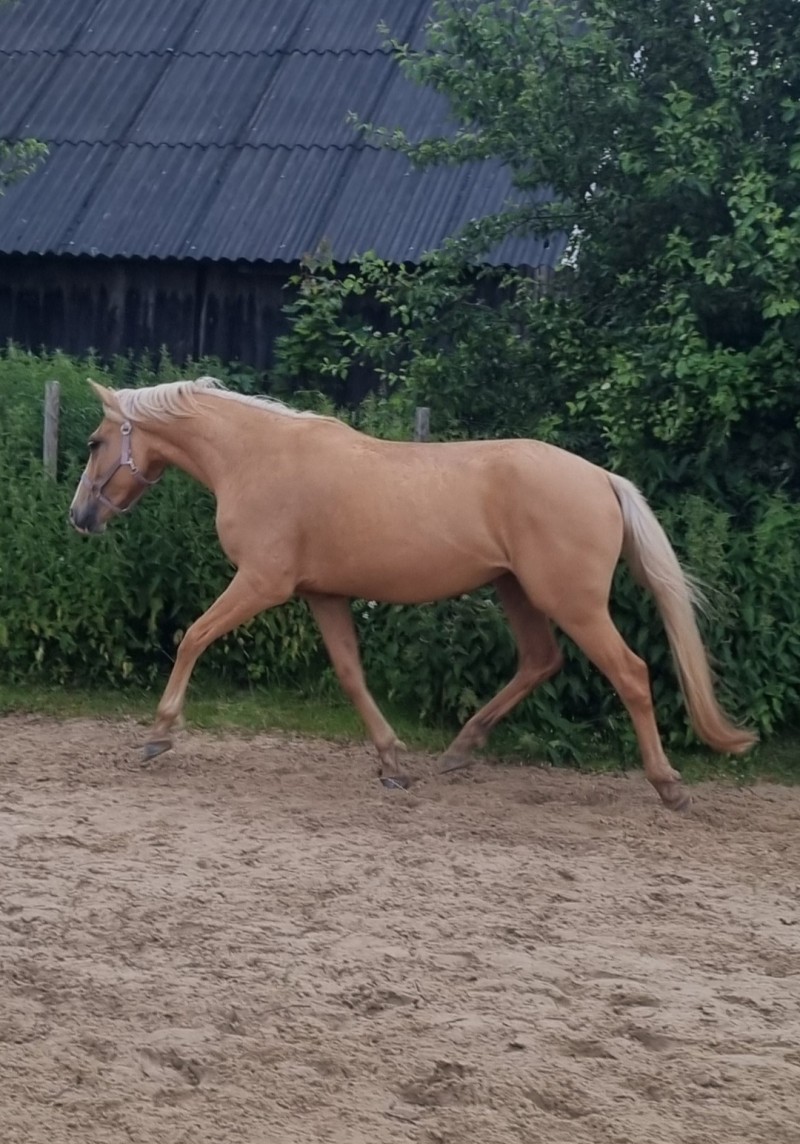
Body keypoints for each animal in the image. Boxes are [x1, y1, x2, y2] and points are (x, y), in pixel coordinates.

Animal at [68, 376, 756, 811]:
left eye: (96, 443)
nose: (80, 517)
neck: (257, 457)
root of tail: (601, 478)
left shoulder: (262, 583)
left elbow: (193, 636)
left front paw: (159, 734)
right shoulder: (323, 595)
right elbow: (351, 675)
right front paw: (393, 763)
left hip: (573, 604)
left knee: (632, 674)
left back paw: (668, 786)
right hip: (517, 592)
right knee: (540, 661)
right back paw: (459, 751)